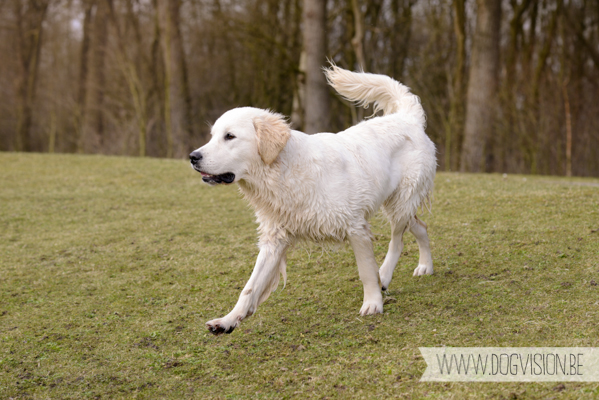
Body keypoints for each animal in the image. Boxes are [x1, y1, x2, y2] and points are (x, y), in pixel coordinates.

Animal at [191, 66, 436, 334]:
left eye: (230, 136)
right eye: (213, 136)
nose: (193, 156)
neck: (283, 171)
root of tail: (407, 118)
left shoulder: (356, 227)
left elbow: (366, 272)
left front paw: (373, 303)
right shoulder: (274, 239)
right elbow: (250, 287)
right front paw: (227, 320)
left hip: (400, 201)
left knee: (397, 241)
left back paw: (386, 275)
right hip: (399, 205)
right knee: (421, 226)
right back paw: (426, 266)